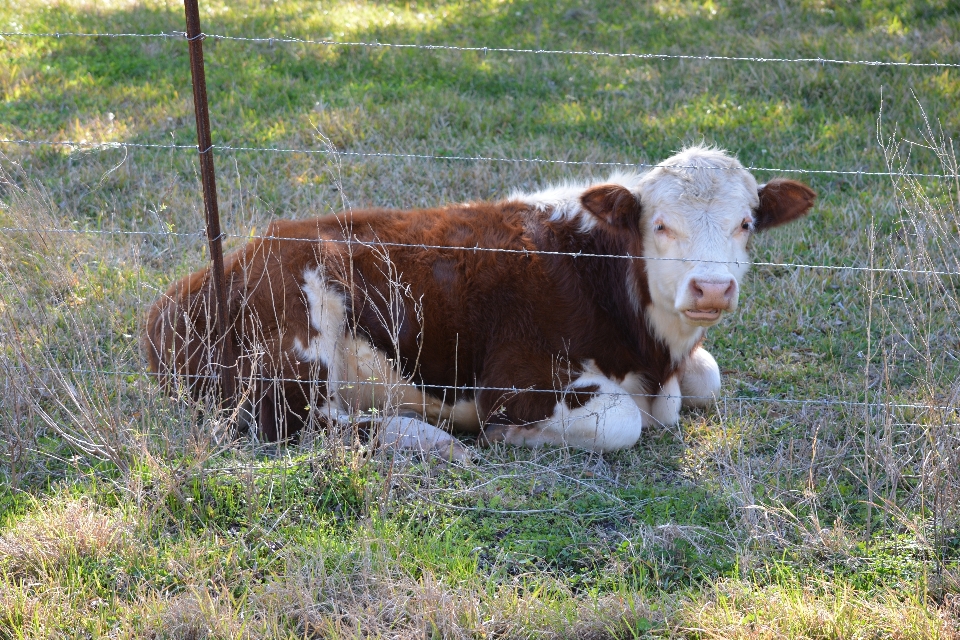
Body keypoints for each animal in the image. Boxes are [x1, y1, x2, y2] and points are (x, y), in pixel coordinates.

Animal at [146, 145, 812, 458]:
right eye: (661, 225)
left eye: (746, 223)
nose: (711, 288)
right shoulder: (516, 382)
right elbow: (622, 422)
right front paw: (507, 437)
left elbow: (708, 378)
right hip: (297, 341)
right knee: (295, 423)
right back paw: (426, 439)